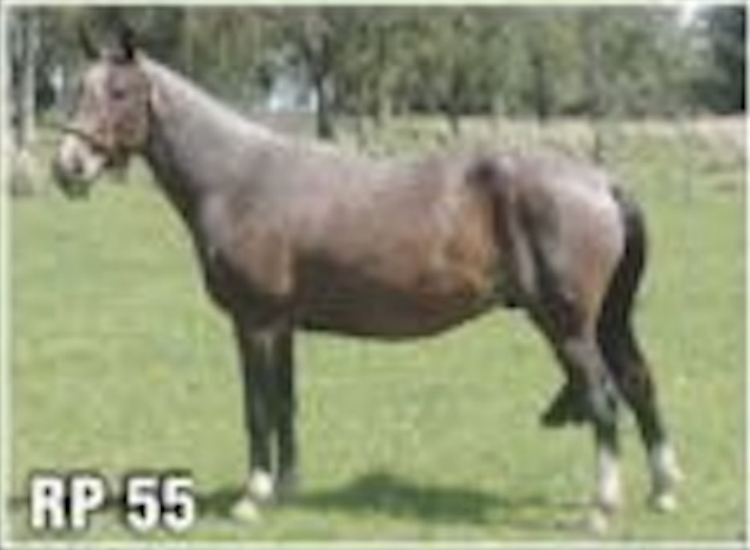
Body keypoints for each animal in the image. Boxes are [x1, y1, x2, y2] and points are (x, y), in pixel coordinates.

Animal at [52, 28, 682, 532]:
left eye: (119, 92)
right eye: (79, 88)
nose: (68, 167)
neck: (239, 178)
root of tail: (600, 181)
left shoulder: (253, 324)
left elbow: (256, 407)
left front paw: (252, 498)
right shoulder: (282, 327)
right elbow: (285, 403)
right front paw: (287, 489)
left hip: (568, 326)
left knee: (604, 398)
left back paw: (601, 508)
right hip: (608, 321)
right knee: (638, 381)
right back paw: (664, 490)